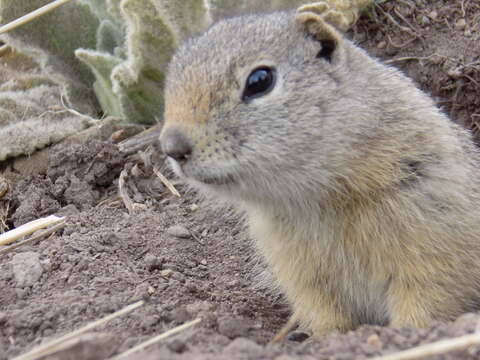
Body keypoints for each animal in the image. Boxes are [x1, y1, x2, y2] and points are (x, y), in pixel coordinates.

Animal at [159, 3, 480, 340]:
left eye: (260, 80)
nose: (172, 147)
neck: (318, 197)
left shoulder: (433, 247)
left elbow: (425, 301)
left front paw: (406, 334)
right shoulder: (301, 274)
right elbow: (322, 312)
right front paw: (325, 338)